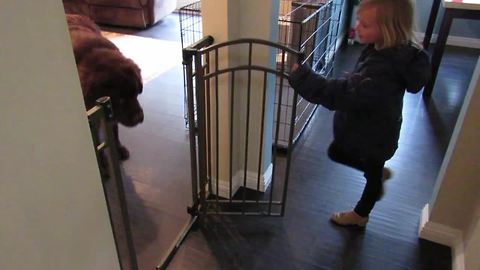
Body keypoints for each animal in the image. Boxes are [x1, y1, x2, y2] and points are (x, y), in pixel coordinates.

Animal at [66, 13, 143, 159]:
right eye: (120, 99)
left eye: (136, 93)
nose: (140, 119)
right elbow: (96, 142)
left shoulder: (110, 111)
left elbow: (114, 131)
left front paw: (119, 149)